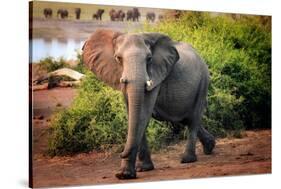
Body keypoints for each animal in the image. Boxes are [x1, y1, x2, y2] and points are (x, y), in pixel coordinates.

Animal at [81, 29, 214, 179]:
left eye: (149, 59)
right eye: (118, 58)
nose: (120, 153)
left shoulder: (156, 75)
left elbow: (143, 113)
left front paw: (126, 174)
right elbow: (133, 114)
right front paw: (137, 170)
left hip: (203, 82)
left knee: (193, 119)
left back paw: (187, 159)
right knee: (185, 119)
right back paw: (210, 146)